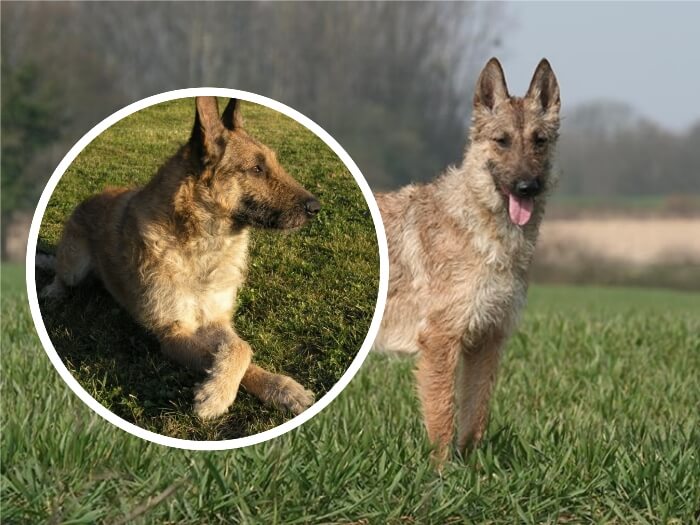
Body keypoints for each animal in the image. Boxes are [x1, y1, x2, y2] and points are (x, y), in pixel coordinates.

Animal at [41, 96, 320, 420]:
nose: (316, 207)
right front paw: (217, 395)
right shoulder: (172, 334)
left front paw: (281, 388)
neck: (201, 244)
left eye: (272, 163)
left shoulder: (216, 320)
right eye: (257, 169)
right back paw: (54, 290)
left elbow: (242, 348)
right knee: (61, 275)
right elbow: (233, 354)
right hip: (75, 265)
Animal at [374, 56, 560, 458]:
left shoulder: (487, 341)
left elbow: (475, 417)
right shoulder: (441, 341)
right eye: (502, 141)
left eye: (539, 141)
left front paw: (472, 469)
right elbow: (444, 420)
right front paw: (441, 473)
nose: (527, 187)